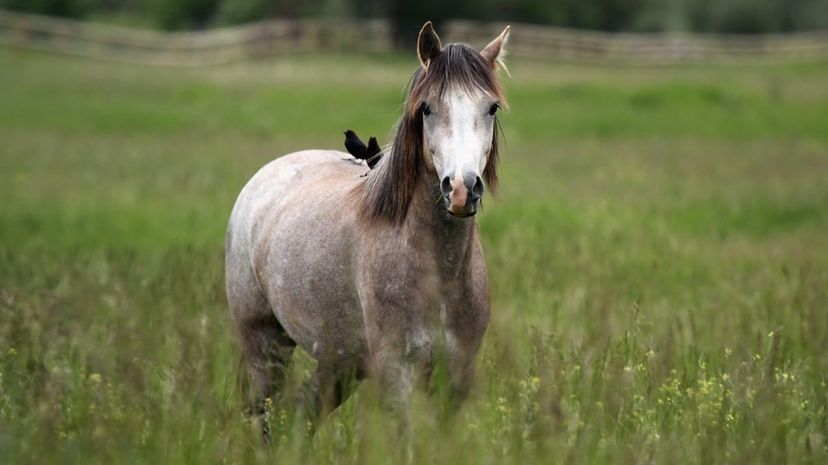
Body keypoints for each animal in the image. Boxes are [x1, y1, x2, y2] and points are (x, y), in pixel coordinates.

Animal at [226, 20, 512, 428]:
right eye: (426, 109)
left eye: (491, 107)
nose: (461, 189)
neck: (436, 273)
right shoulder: (395, 373)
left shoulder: (456, 375)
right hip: (265, 346)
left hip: (339, 360)